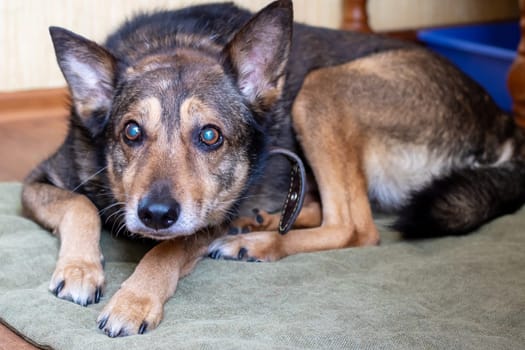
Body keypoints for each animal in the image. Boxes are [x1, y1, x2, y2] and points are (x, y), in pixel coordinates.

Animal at [22, 0, 524, 340]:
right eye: (130, 132)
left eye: (210, 136)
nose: (156, 215)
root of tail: (499, 122)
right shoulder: (37, 183)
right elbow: (80, 207)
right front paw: (81, 269)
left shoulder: (210, 215)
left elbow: (166, 250)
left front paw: (134, 299)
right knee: (326, 208)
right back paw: (261, 221)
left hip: (322, 88)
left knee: (356, 227)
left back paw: (256, 242)